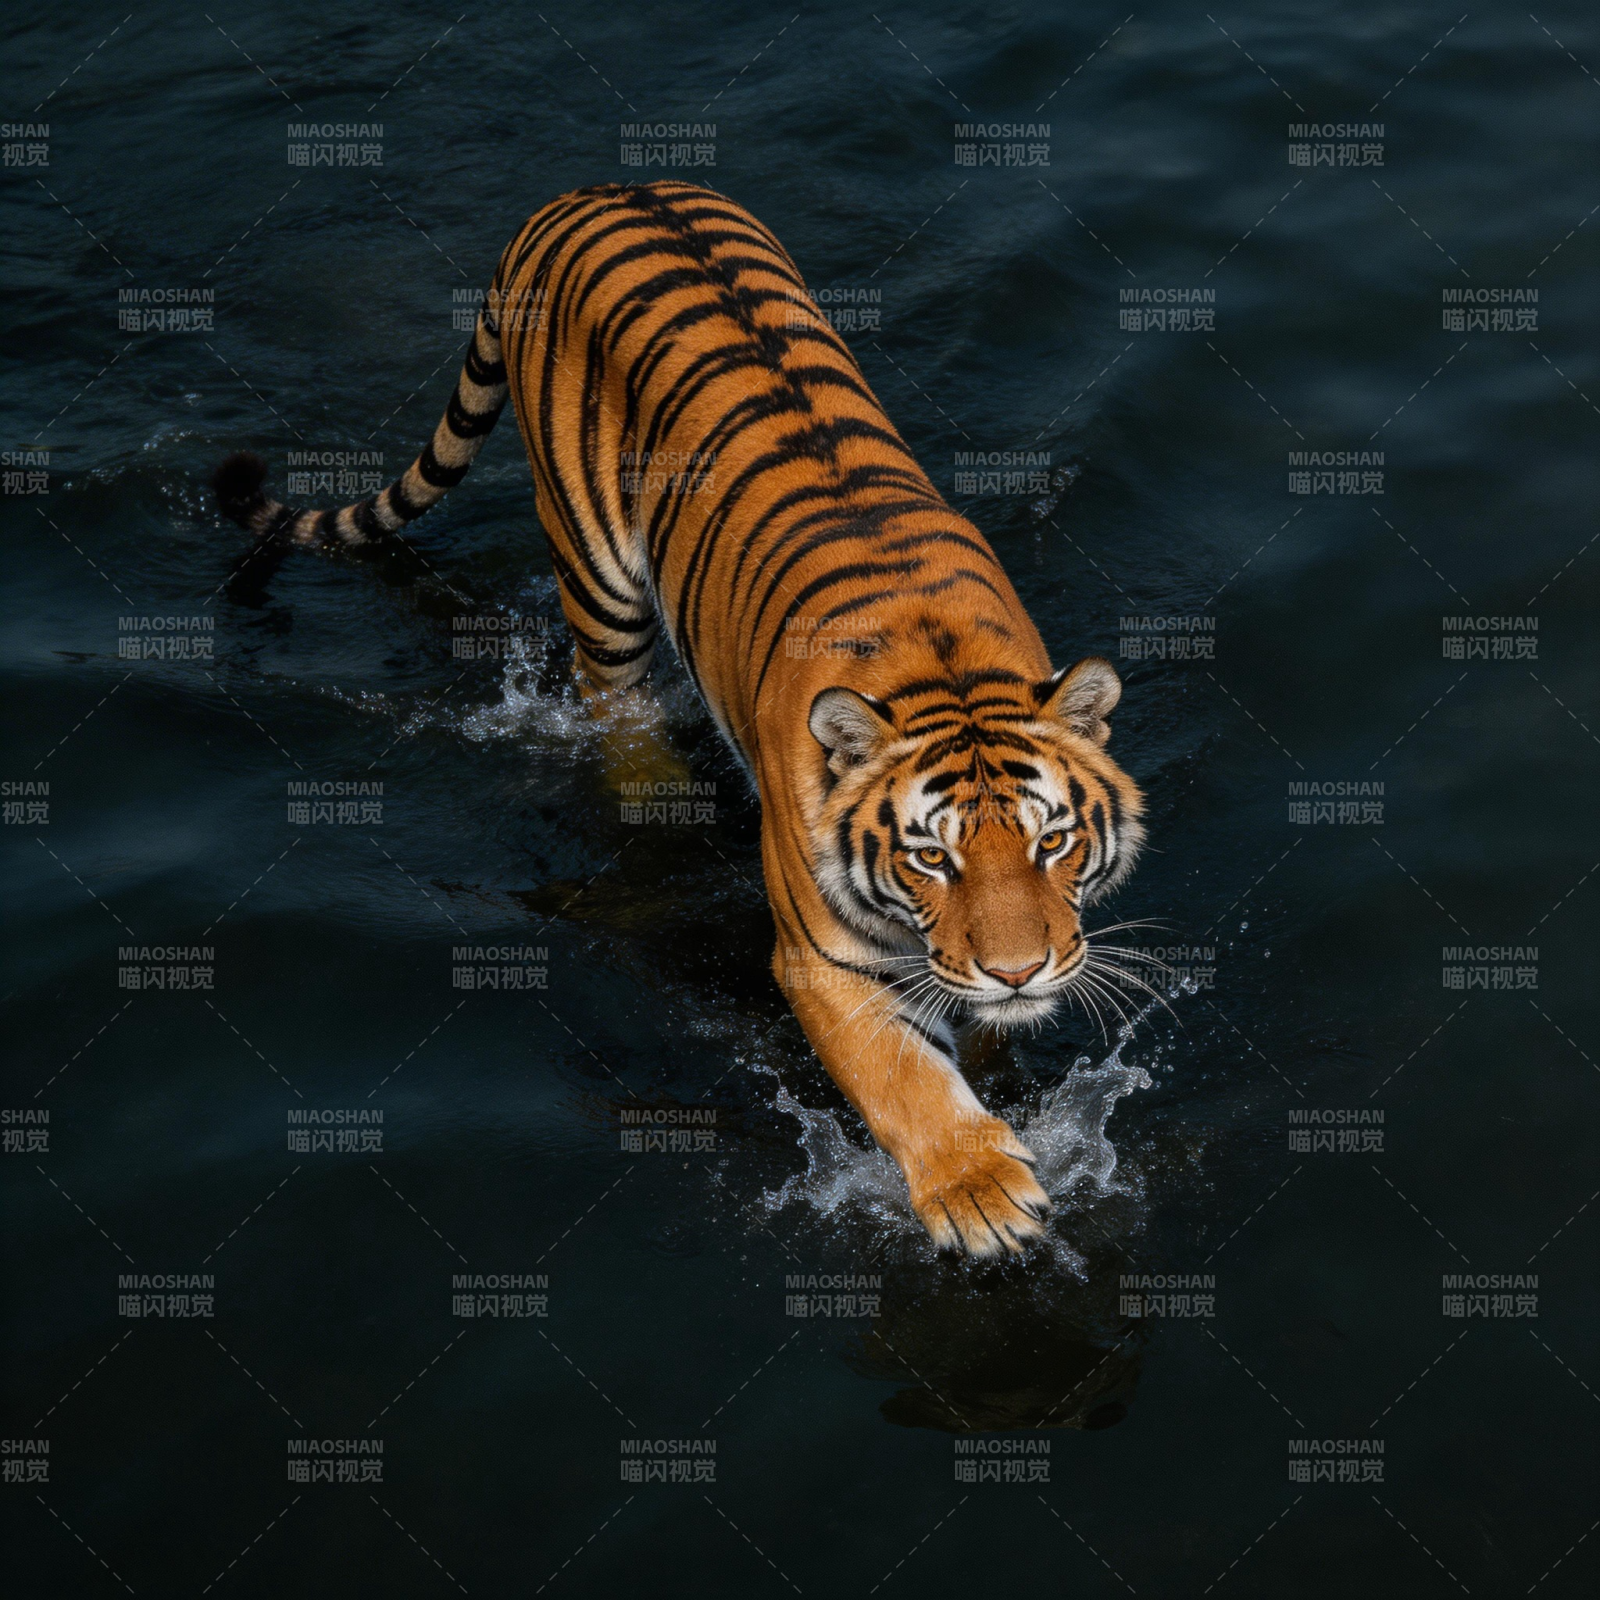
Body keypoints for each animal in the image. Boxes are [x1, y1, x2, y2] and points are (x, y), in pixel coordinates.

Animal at [213, 179, 1146, 1258]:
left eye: (1053, 842)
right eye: (929, 857)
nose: (1018, 970)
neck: (941, 672)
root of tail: (587, 191)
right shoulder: (822, 959)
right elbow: (900, 1075)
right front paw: (978, 1191)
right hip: (597, 573)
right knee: (612, 705)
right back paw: (656, 786)